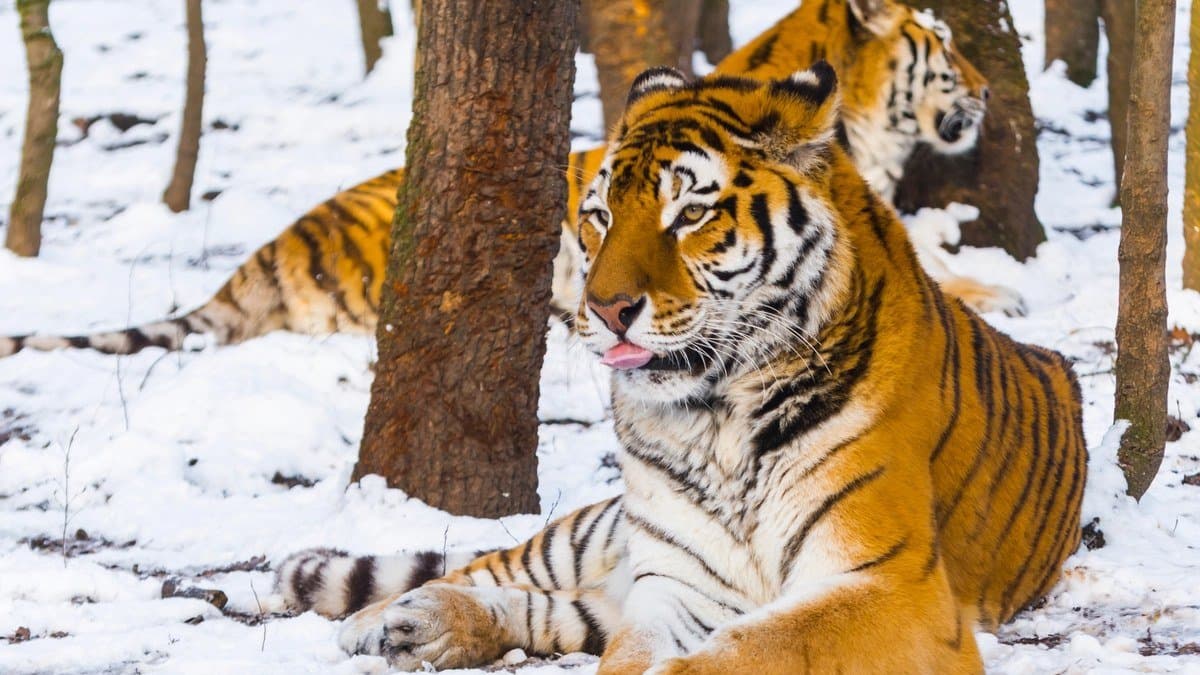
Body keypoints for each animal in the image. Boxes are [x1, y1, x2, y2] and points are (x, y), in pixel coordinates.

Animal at [267, 63, 1086, 673]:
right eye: (598, 216)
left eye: (689, 214)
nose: (603, 309)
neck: (719, 415)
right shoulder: (674, 583)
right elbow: (632, 654)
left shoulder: (888, 582)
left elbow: (751, 650)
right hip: (596, 532)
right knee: (499, 565)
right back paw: (387, 618)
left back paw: (421, 627)